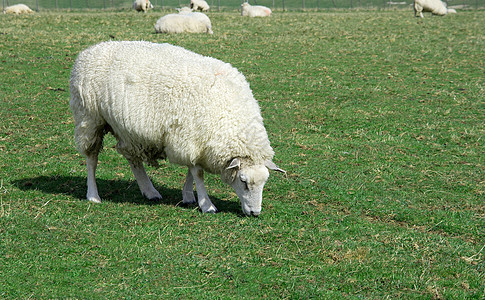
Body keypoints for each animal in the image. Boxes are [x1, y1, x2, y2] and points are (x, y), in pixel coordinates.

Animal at [69, 41, 284, 217]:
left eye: (264, 182)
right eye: (243, 181)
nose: (255, 213)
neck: (230, 115)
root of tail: (89, 50)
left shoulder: (195, 142)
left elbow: (191, 170)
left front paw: (189, 196)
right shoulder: (189, 139)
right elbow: (197, 173)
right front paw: (207, 205)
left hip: (128, 131)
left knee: (131, 157)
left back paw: (150, 191)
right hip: (89, 118)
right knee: (91, 159)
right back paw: (93, 195)